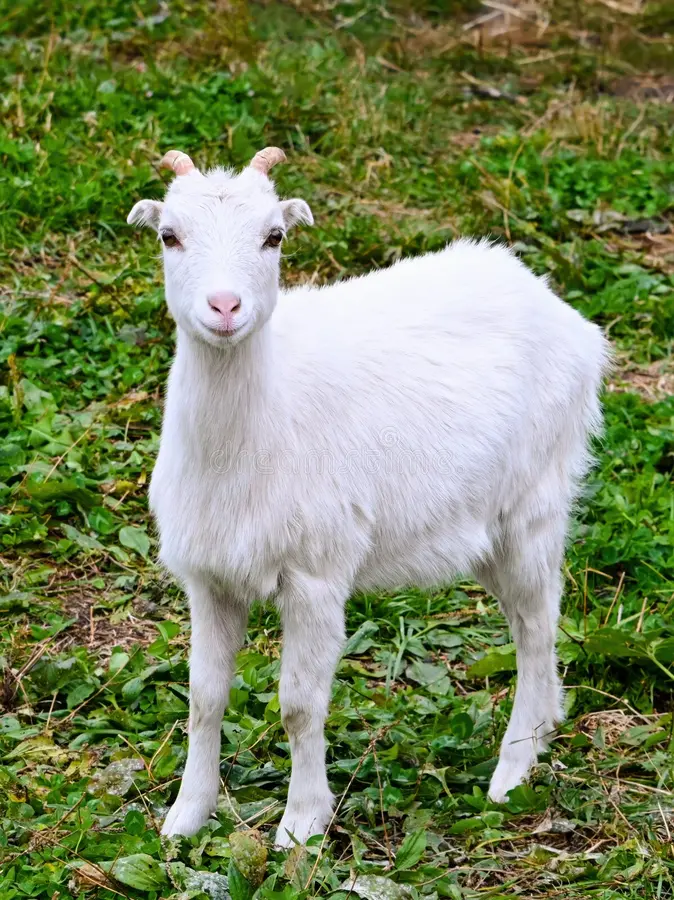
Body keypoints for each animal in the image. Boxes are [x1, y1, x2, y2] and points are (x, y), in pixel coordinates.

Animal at [127, 146, 609, 846]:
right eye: (169, 235)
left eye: (274, 237)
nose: (224, 307)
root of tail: (558, 309)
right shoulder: (210, 577)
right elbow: (204, 696)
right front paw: (185, 818)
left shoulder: (316, 573)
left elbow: (299, 706)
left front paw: (302, 824)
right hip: (485, 530)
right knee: (533, 618)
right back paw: (545, 729)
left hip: (535, 501)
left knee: (538, 627)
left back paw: (511, 771)